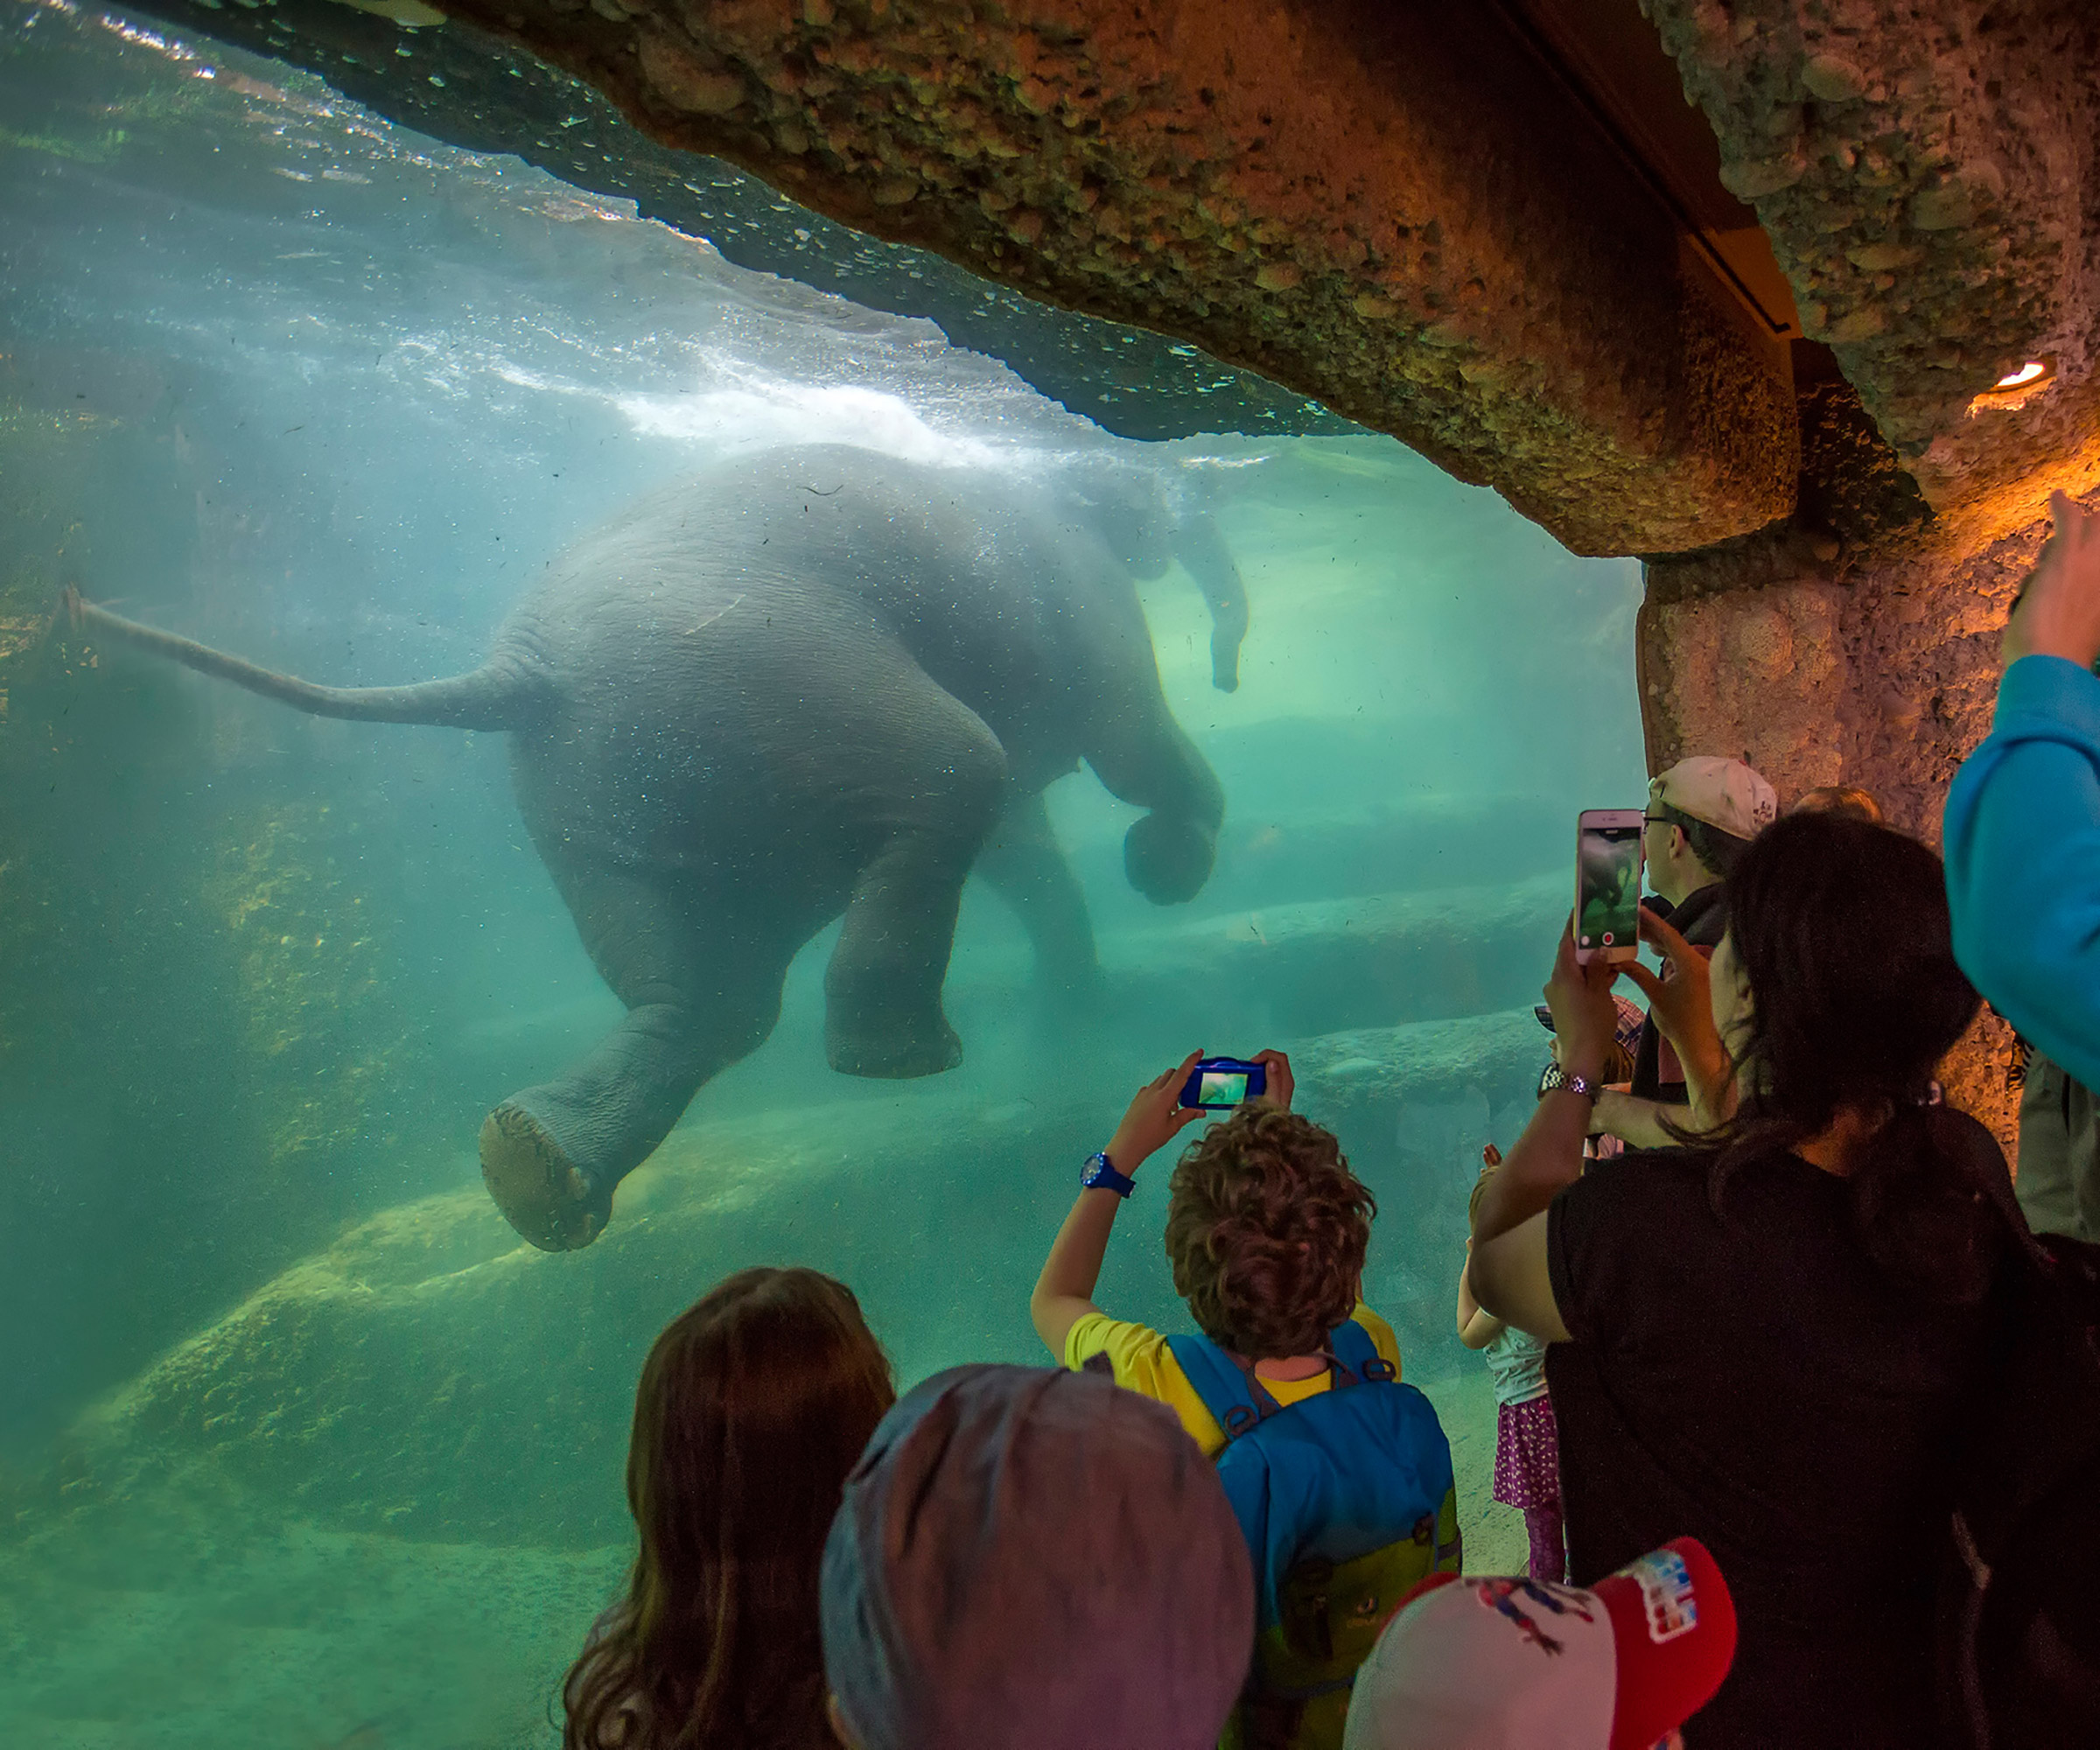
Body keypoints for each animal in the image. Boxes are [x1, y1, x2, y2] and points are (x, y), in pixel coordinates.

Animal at [74, 443, 1235, 1251]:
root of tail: (523, 668)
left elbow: (1039, 852)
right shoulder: (1096, 615)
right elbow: (1141, 745)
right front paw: (1166, 869)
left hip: (612, 827)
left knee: (705, 1000)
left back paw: (535, 1173)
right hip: (791, 680)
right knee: (949, 783)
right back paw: (904, 1058)